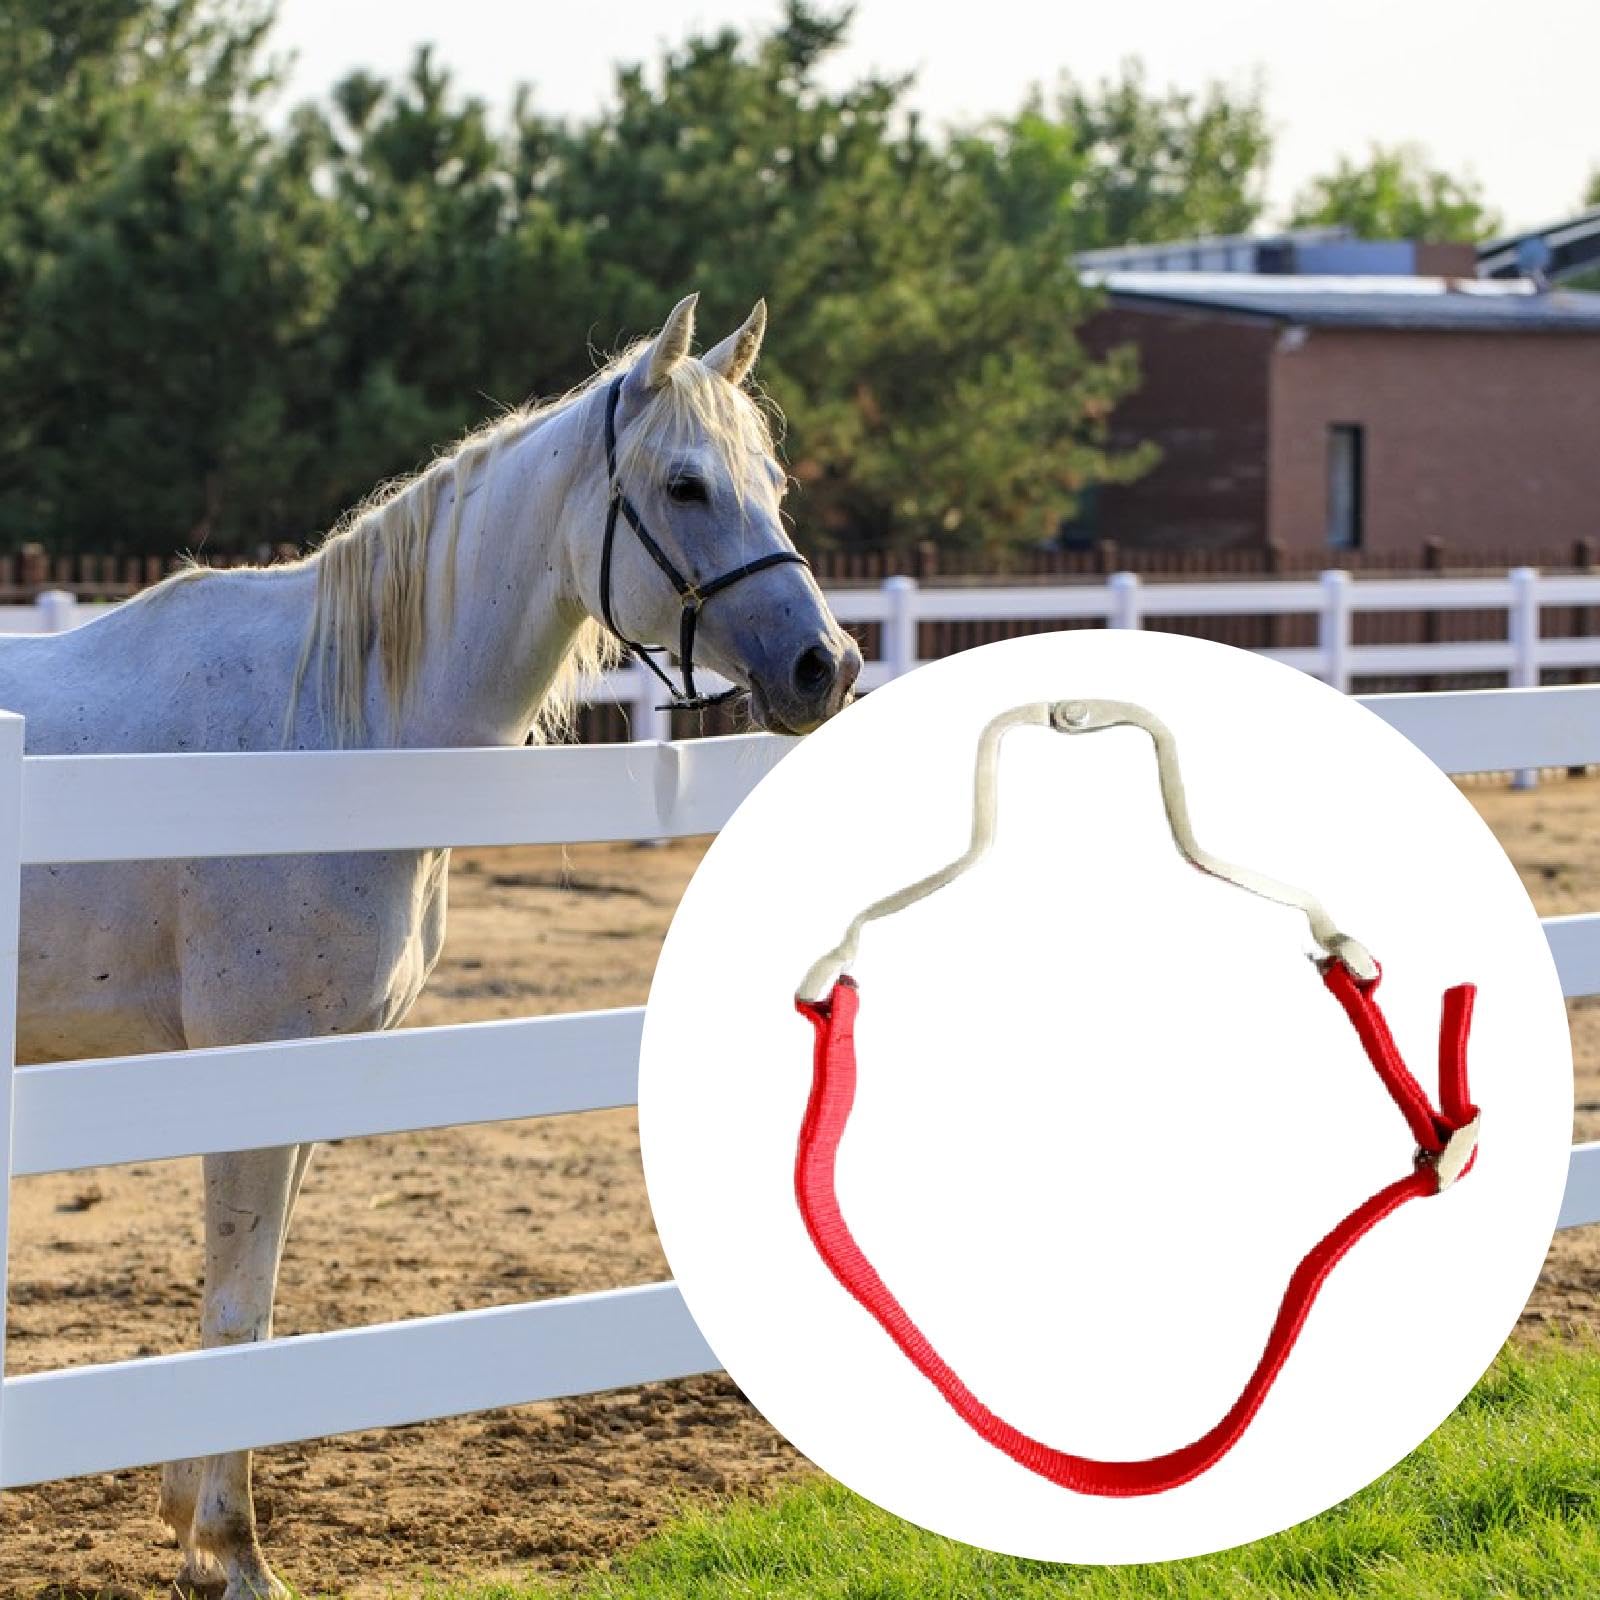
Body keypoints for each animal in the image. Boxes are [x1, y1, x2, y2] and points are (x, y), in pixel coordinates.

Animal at [0, 294, 860, 1598]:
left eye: (772, 482)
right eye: (686, 485)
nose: (827, 666)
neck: (330, 728)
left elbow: (250, 1307)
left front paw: (196, 1528)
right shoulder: (249, 1074)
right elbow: (238, 1314)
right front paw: (233, 1552)